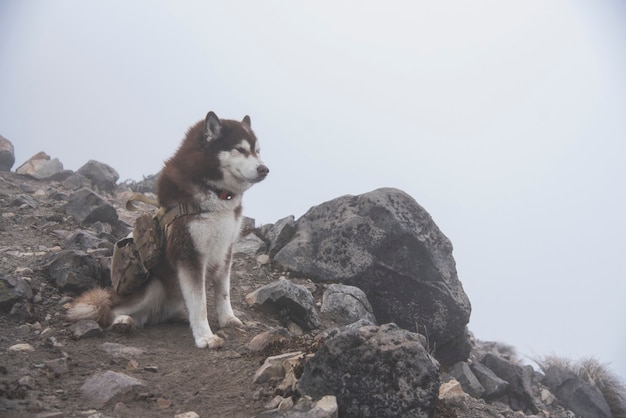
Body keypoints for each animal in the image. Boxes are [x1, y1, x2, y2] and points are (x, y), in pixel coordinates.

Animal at [67, 112, 268, 350]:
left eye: (257, 151)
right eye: (240, 149)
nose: (265, 169)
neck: (214, 193)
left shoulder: (225, 250)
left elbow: (223, 292)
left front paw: (228, 319)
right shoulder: (189, 254)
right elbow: (200, 302)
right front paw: (205, 337)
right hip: (152, 286)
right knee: (110, 310)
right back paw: (123, 321)